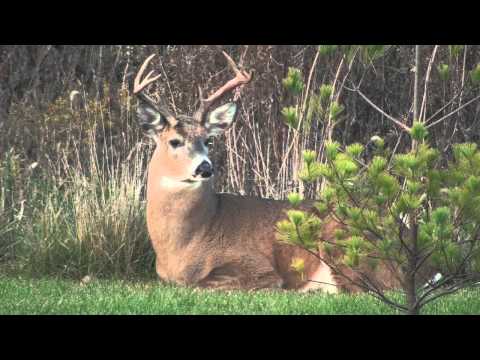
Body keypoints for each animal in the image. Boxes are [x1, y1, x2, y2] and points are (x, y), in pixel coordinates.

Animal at [134, 51, 402, 292]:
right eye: (175, 141)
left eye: (208, 140)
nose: (205, 167)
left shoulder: (255, 264)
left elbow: (200, 285)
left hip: (343, 246)